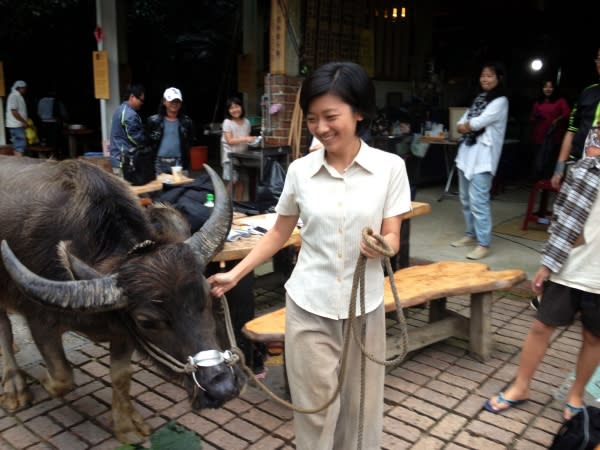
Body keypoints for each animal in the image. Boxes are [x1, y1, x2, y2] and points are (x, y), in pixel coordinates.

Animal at [0, 156, 246, 442]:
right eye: (147, 321)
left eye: (206, 296)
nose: (223, 388)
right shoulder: (39, 321)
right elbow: (62, 376)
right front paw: (44, 379)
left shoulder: (123, 332)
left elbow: (120, 376)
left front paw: (127, 425)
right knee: (4, 327)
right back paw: (14, 386)